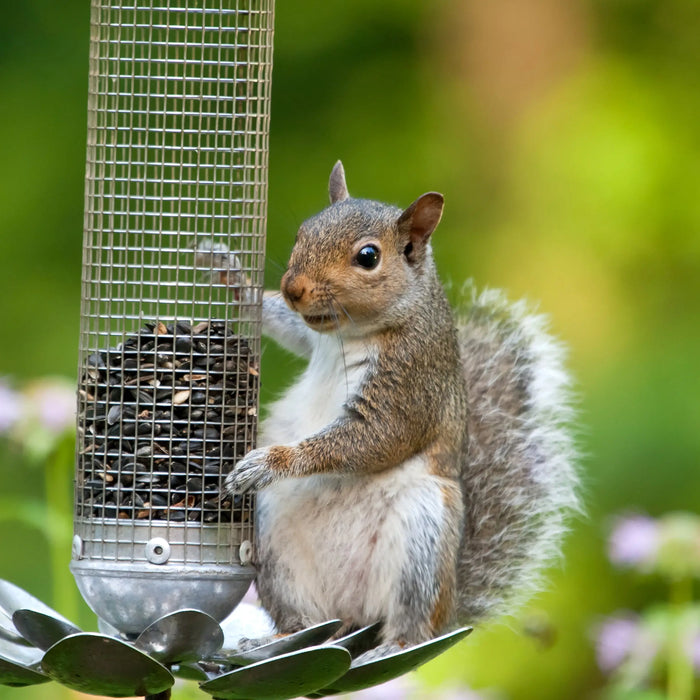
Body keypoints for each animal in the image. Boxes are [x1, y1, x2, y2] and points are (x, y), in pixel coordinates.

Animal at [226, 161, 580, 652]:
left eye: (368, 257)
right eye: (302, 232)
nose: (293, 288)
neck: (352, 332)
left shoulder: (411, 383)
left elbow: (374, 438)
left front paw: (271, 462)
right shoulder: (313, 337)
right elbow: (290, 329)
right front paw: (232, 276)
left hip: (422, 533)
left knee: (410, 623)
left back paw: (393, 644)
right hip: (274, 541)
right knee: (305, 621)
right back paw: (280, 638)